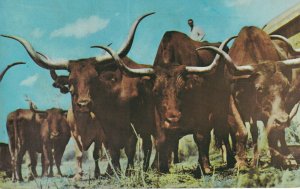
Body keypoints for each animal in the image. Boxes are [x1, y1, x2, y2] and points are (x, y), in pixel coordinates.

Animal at [1, 12, 157, 179]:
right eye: (71, 81)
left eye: (94, 78)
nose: (83, 104)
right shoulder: (91, 134)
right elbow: (90, 153)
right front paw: (82, 175)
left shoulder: (122, 131)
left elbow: (119, 152)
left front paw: (123, 172)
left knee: (147, 146)